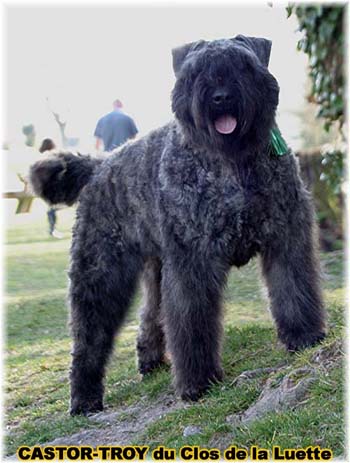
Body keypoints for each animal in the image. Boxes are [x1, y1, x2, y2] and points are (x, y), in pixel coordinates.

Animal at [30, 33, 326, 416]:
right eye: (195, 71)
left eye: (243, 65)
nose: (220, 96)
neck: (232, 163)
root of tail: (99, 165)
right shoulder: (192, 262)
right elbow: (191, 322)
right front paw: (198, 383)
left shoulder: (286, 238)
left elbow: (293, 290)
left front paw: (304, 337)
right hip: (100, 272)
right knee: (89, 336)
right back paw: (84, 398)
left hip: (155, 265)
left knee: (150, 314)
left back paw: (150, 361)